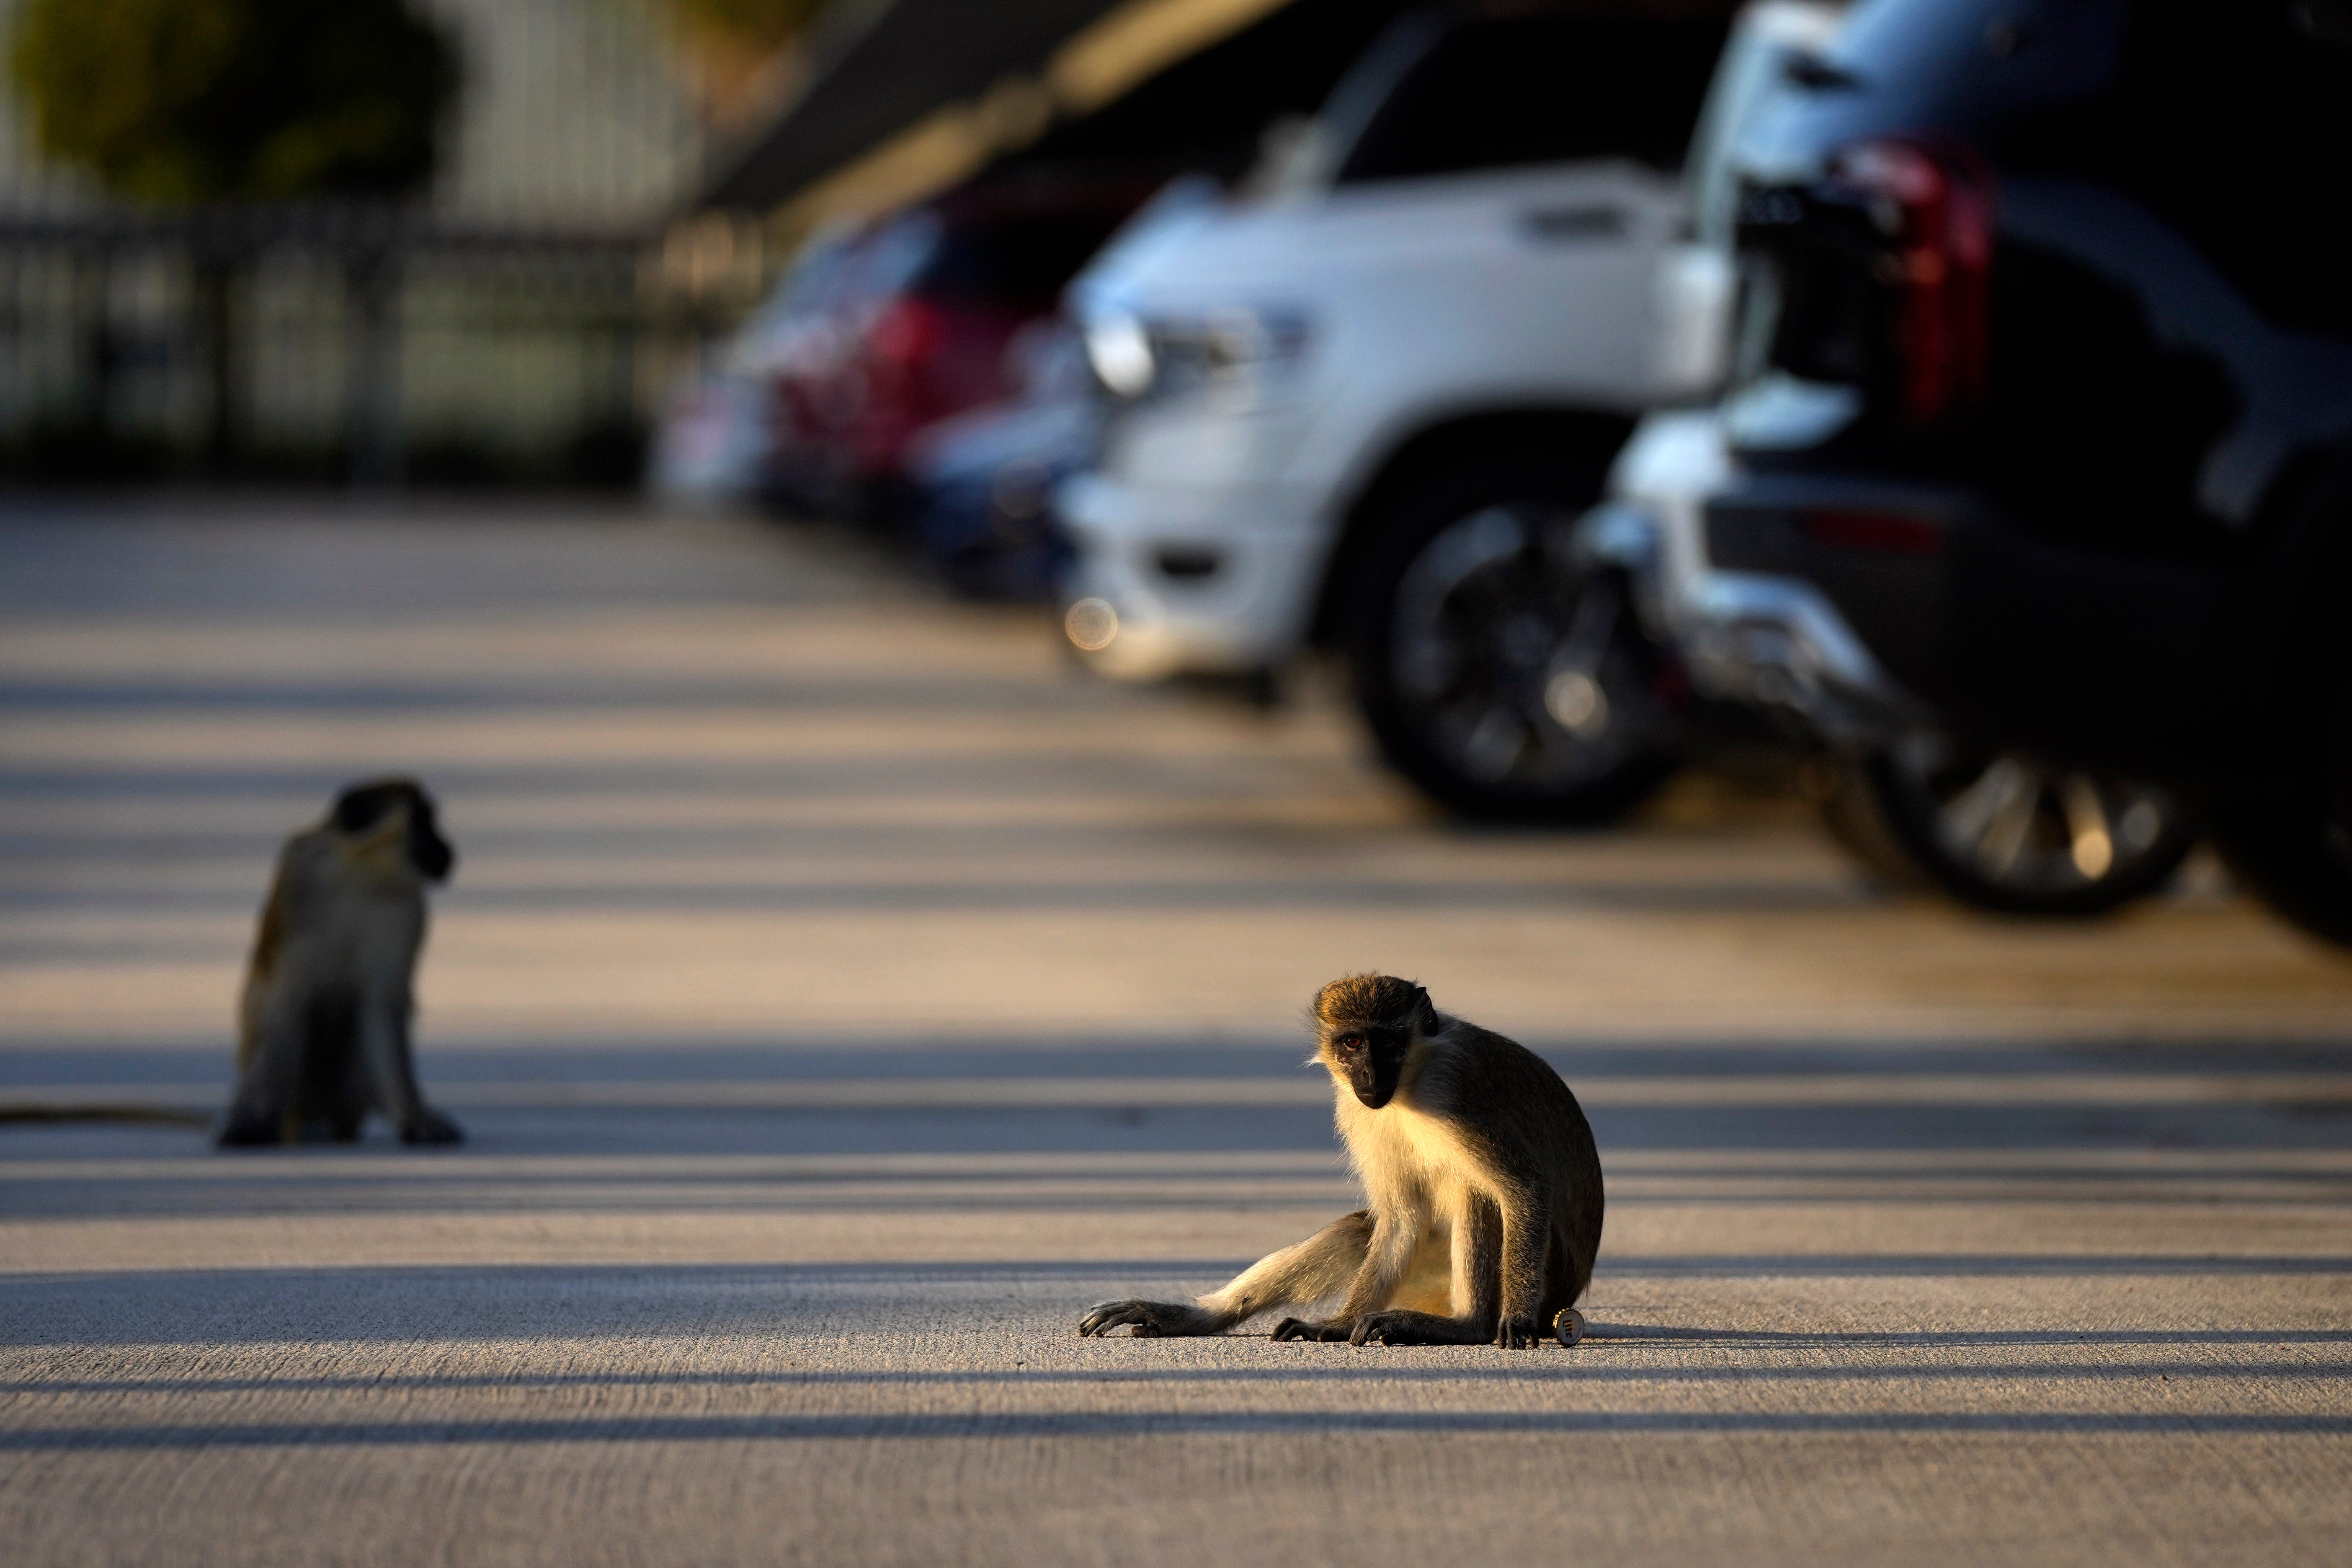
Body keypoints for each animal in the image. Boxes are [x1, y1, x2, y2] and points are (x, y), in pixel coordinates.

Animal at [215, 777, 465, 1148]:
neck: (361, 876)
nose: (447, 848)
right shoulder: (300, 884)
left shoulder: (408, 913)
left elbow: (382, 1006)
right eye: (424, 822)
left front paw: (418, 1119)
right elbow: (286, 1005)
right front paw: (254, 1122)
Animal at [1078, 974, 1602, 1348]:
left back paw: (1469, 1325)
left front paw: (1514, 1319)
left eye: (1386, 1042)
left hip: (1548, 1273)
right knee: (1362, 1230)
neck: (1412, 1081)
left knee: (1475, 1192)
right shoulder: (1357, 1109)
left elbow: (1523, 1188)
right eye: (1352, 1043)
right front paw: (1338, 1324)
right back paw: (1199, 1316)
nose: (1369, 1075)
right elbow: (1400, 1219)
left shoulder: (1459, 1090)